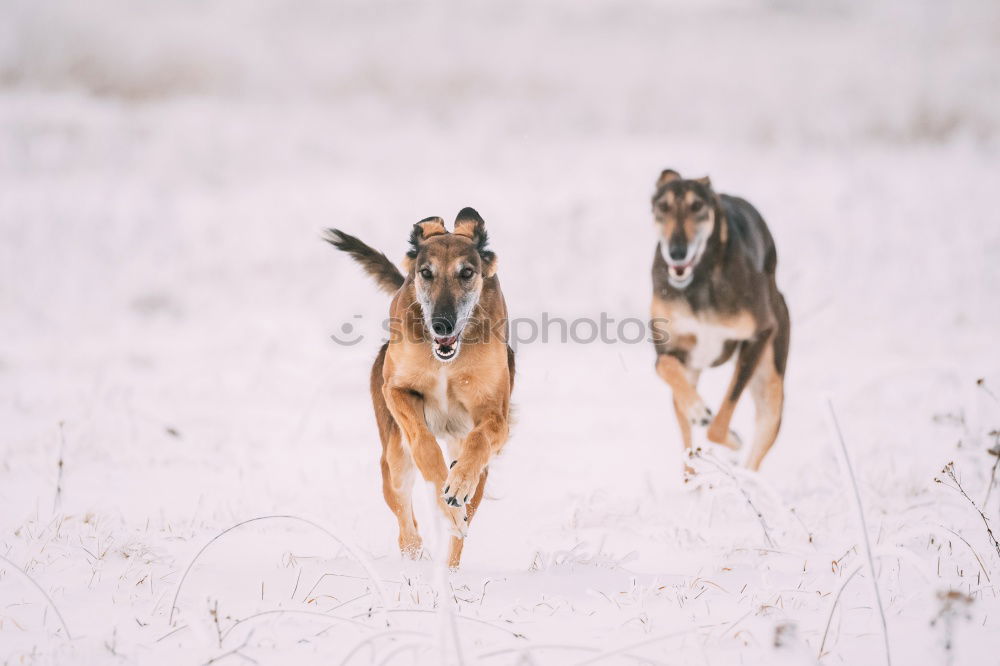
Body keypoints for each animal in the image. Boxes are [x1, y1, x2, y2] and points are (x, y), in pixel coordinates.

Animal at [326, 208, 516, 564]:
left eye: (467, 272)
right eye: (426, 273)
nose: (443, 324)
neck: (445, 361)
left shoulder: (495, 415)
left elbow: (480, 439)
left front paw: (457, 485)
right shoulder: (396, 390)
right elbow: (424, 443)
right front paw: (444, 497)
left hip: (478, 472)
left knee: (460, 526)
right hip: (393, 460)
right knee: (405, 517)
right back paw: (415, 553)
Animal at [652, 171, 792, 472]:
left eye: (696, 206)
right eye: (663, 207)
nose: (677, 251)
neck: (700, 282)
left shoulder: (759, 335)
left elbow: (720, 421)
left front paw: (733, 438)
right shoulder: (673, 350)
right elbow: (664, 365)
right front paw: (698, 411)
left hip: (771, 386)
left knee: (754, 456)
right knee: (687, 441)